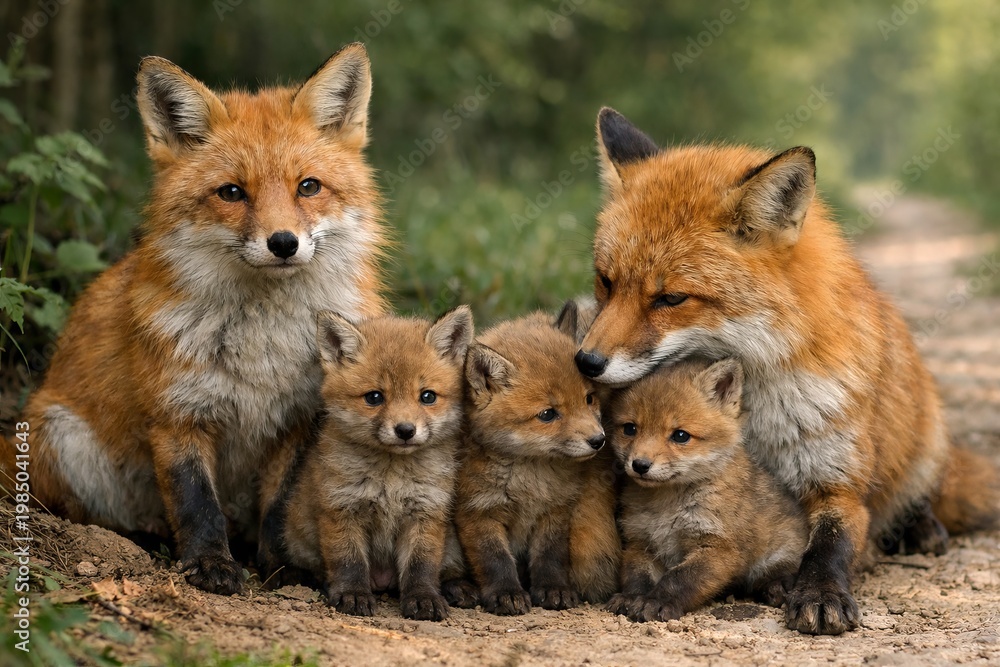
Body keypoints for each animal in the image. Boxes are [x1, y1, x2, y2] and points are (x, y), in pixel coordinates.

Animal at [0, 44, 387, 595]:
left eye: (308, 187)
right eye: (232, 193)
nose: (283, 243)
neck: (263, 342)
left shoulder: (301, 419)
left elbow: (281, 505)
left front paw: (282, 568)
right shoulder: (178, 412)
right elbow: (196, 503)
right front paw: (209, 565)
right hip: (62, 438)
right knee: (88, 516)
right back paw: (142, 541)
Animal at [258, 308, 472, 621]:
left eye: (427, 396)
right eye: (374, 397)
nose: (405, 430)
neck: (392, 480)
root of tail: (383, 581)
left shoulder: (426, 511)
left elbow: (421, 566)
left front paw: (424, 598)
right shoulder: (341, 508)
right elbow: (349, 561)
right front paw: (353, 595)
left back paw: (457, 586)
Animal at [453, 312, 615, 616]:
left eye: (588, 398)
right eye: (548, 414)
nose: (598, 440)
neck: (529, 479)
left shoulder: (556, 510)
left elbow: (549, 557)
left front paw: (554, 589)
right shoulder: (477, 513)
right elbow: (495, 560)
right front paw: (506, 593)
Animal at [606, 357, 808, 622]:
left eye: (680, 436)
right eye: (630, 429)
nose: (640, 465)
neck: (667, 506)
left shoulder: (718, 547)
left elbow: (679, 578)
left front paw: (656, 602)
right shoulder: (640, 541)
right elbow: (637, 577)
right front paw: (632, 598)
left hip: (779, 550)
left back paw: (777, 586)